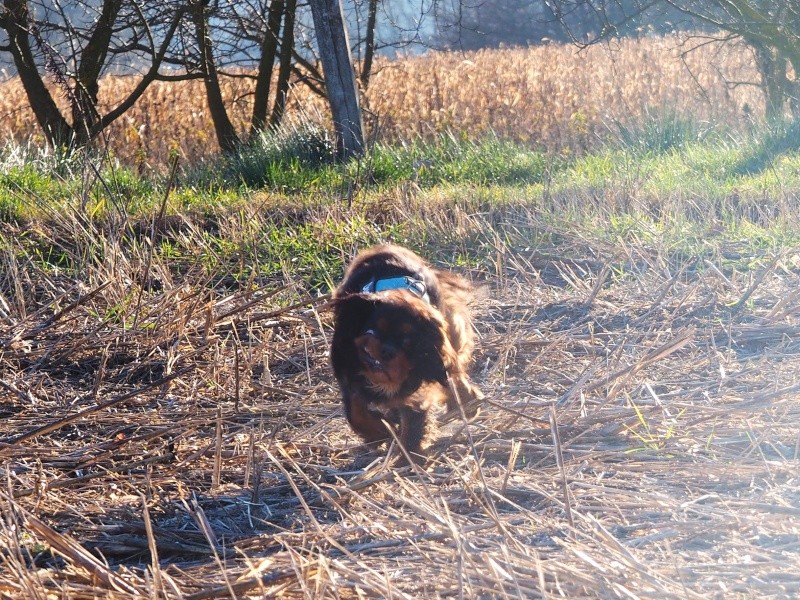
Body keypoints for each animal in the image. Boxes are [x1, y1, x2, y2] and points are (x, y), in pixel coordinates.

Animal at [330, 244, 484, 460]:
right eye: (373, 330)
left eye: (407, 340)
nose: (387, 350)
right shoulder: (349, 375)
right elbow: (356, 412)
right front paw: (378, 433)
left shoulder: (417, 389)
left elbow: (414, 421)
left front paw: (408, 457)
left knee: (454, 373)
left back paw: (466, 402)